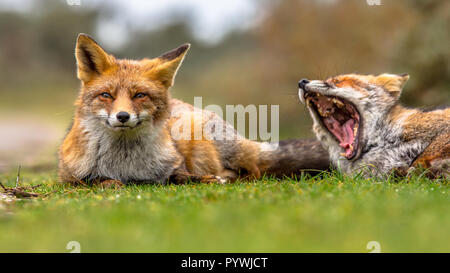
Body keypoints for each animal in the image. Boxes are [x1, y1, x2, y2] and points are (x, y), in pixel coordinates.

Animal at [58, 32, 328, 185]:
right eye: (106, 95)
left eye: (140, 95)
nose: (122, 116)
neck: (125, 165)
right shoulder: (68, 178)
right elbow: (97, 181)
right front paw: (111, 182)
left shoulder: (175, 164)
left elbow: (178, 176)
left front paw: (205, 179)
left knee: (252, 171)